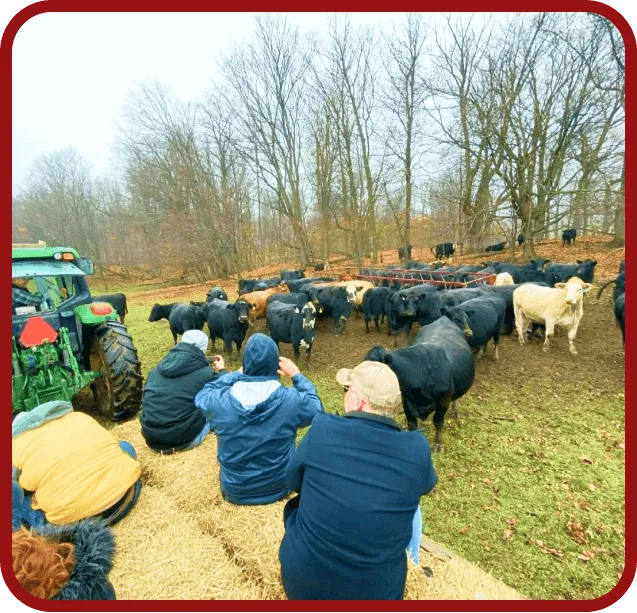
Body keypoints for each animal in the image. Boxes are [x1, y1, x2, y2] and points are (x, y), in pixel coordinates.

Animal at [366, 316, 474, 450]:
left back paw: (456, 412)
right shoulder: (406, 400)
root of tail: (443, 319)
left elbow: (438, 422)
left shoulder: (444, 401)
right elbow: (412, 424)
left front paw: (438, 444)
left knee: (456, 399)